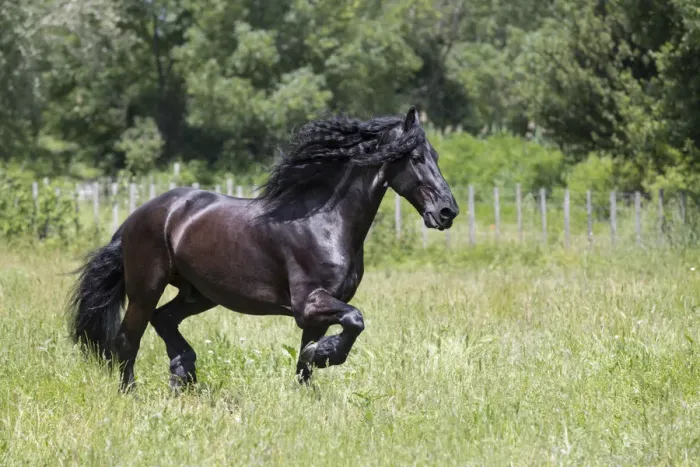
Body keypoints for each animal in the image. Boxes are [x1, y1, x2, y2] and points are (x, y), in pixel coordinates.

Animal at [68, 106, 459, 391]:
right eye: (415, 157)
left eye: (437, 155)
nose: (447, 212)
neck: (325, 223)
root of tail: (139, 215)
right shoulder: (309, 304)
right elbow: (355, 319)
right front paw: (327, 355)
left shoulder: (317, 314)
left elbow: (304, 363)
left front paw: (312, 378)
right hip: (146, 288)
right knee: (127, 340)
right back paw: (133, 393)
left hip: (199, 293)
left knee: (164, 319)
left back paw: (183, 373)